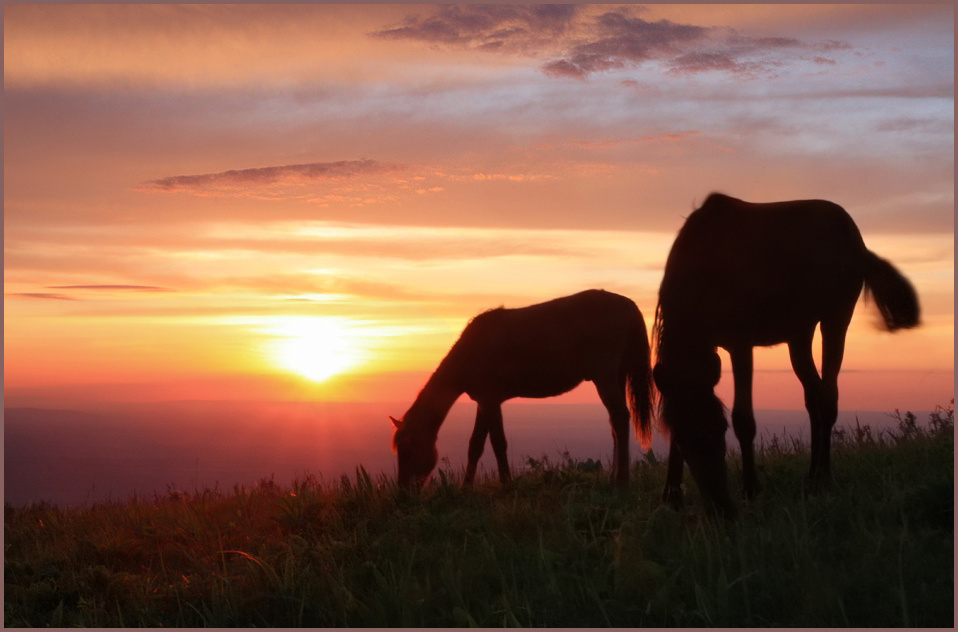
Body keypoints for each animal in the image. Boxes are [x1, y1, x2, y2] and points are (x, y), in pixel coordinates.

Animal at [390, 289, 654, 490]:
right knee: (615, 425)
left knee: (620, 418)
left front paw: (506, 485)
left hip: (605, 377)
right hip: (616, 376)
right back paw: (612, 478)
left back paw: (621, 483)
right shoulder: (485, 402)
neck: (471, 350)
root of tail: (628, 304)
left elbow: (498, 443)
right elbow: (475, 446)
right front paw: (466, 488)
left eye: (406, 449)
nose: (402, 493)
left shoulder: (490, 401)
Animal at [652, 193, 920, 518]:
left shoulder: (740, 345)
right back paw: (811, 474)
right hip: (798, 336)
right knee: (814, 397)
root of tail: (858, 241)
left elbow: (744, 419)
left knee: (827, 397)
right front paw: (671, 495)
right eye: (685, 441)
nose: (721, 509)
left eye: (721, 430)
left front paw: (751, 489)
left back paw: (823, 477)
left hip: (835, 319)